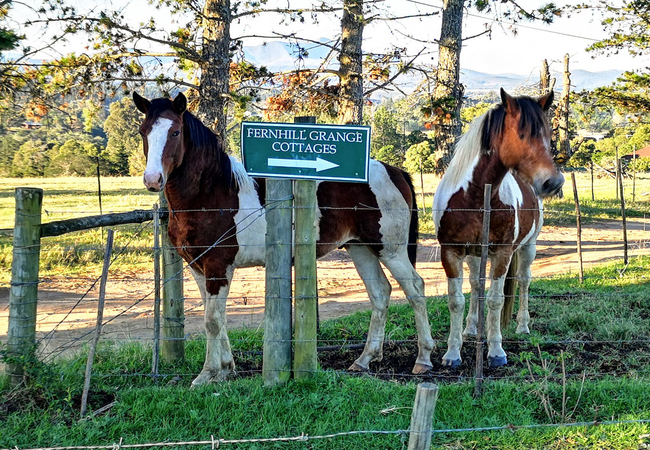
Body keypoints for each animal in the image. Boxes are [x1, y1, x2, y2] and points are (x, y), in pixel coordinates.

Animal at [134, 92, 432, 386]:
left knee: (415, 289)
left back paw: (424, 360)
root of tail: (395, 172)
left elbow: (212, 321)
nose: (153, 179)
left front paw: (208, 374)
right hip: (360, 248)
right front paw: (226, 367)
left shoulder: (218, 267)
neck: (212, 193)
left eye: (175, 132)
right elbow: (216, 317)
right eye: (143, 131)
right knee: (380, 293)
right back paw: (364, 360)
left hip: (390, 250)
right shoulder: (198, 268)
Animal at [430, 89, 560, 370]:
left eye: (548, 135)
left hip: (528, 247)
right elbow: (457, 301)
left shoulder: (502, 253)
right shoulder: (452, 253)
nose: (553, 182)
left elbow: (495, 300)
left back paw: (522, 325)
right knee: (475, 285)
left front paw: (496, 351)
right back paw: (470, 328)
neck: (475, 196)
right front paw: (452, 354)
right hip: (474, 255)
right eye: (522, 134)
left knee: (523, 280)